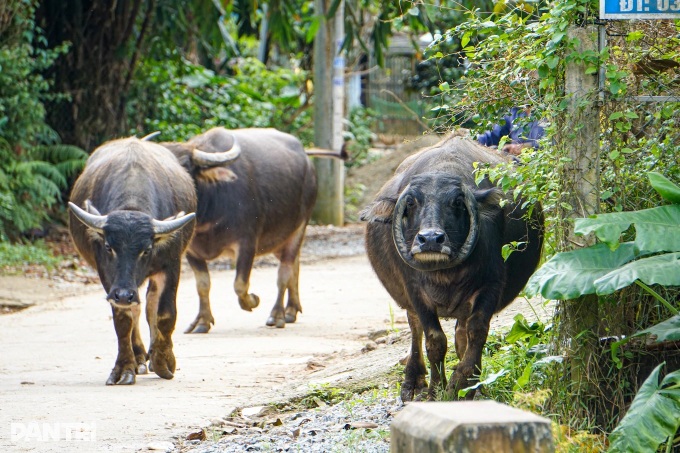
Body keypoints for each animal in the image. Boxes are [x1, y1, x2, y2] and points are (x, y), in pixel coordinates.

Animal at [68, 137, 197, 385]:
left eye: (146, 250)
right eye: (109, 247)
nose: (123, 295)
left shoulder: (171, 264)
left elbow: (165, 313)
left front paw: (163, 361)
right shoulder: (109, 277)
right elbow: (123, 320)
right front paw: (124, 369)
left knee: (150, 305)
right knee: (137, 309)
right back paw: (139, 359)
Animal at [161, 127, 317, 332]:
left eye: (186, 166)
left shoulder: (247, 243)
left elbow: (240, 284)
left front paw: (252, 300)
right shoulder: (191, 251)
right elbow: (202, 285)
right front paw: (202, 321)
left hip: (299, 228)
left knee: (284, 271)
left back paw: (277, 315)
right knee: (295, 265)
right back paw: (291, 309)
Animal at [361, 134, 544, 400]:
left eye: (457, 202)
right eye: (411, 203)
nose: (430, 239)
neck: (445, 274)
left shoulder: (492, 284)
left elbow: (477, 331)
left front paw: (462, 383)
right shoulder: (414, 290)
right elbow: (434, 340)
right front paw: (436, 389)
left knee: (461, 335)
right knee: (415, 328)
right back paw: (413, 382)